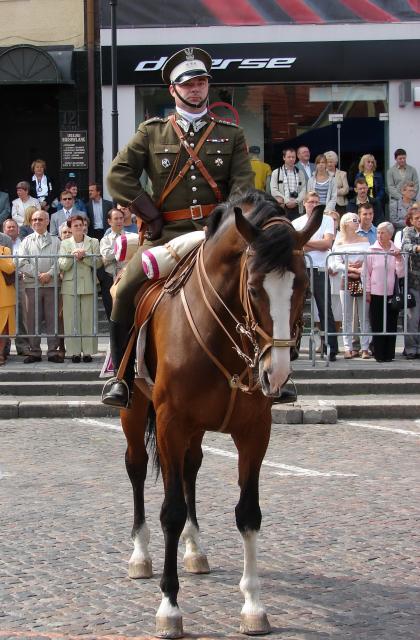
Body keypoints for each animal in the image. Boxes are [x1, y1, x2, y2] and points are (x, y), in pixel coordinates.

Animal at [120, 192, 324, 636]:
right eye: (253, 287)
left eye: (302, 286)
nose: (276, 373)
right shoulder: (170, 423)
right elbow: (171, 511)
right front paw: (169, 608)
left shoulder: (255, 431)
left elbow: (248, 513)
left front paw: (253, 606)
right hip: (135, 413)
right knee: (138, 469)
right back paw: (140, 555)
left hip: (195, 430)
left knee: (191, 469)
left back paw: (195, 550)